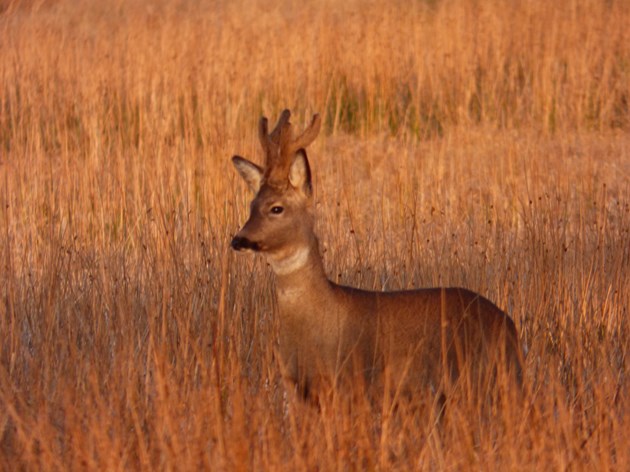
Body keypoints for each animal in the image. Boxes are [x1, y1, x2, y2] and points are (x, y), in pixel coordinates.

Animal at [230, 109, 524, 404]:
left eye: (276, 208)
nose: (238, 239)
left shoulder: (350, 381)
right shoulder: (297, 387)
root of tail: (509, 327)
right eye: (251, 205)